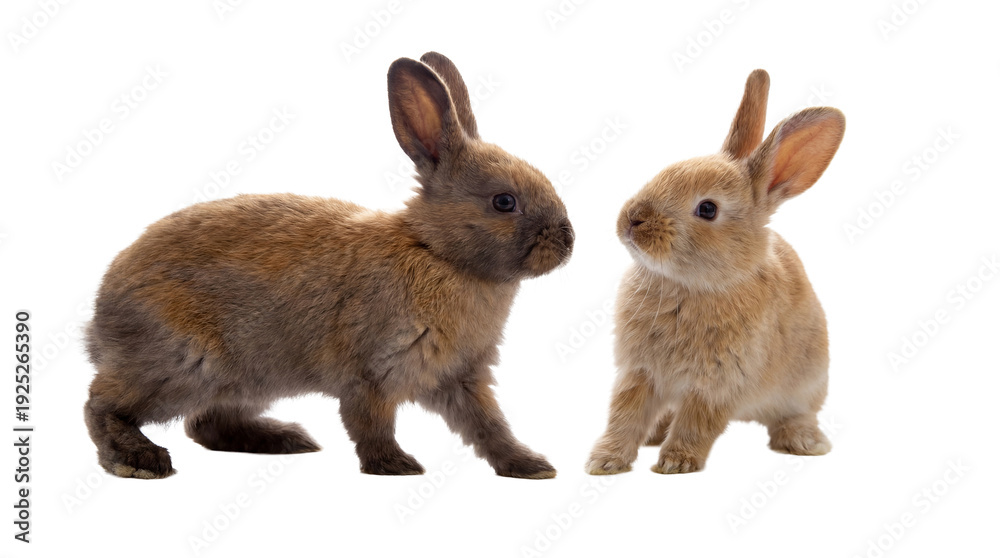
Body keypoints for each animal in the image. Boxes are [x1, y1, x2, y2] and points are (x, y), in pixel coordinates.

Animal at [84, 52, 573, 480]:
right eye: (504, 201)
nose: (568, 241)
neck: (437, 251)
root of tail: (100, 319)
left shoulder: (463, 376)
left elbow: (489, 426)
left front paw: (530, 466)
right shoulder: (371, 371)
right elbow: (370, 423)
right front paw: (395, 466)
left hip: (246, 381)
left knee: (204, 424)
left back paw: (285, 439)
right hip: (186, 366)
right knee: (101, 405)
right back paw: (140, 460)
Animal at [585, 69, 844, 475]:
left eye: (707, 209)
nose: (632, 219)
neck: (690, 286)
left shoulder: (717, 383)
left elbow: (697, 421)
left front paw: (675, 463)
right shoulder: (638, 373)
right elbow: (624, 415)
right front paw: (605, 461)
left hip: (806, 383)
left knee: (796, 414)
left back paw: (805, 441)